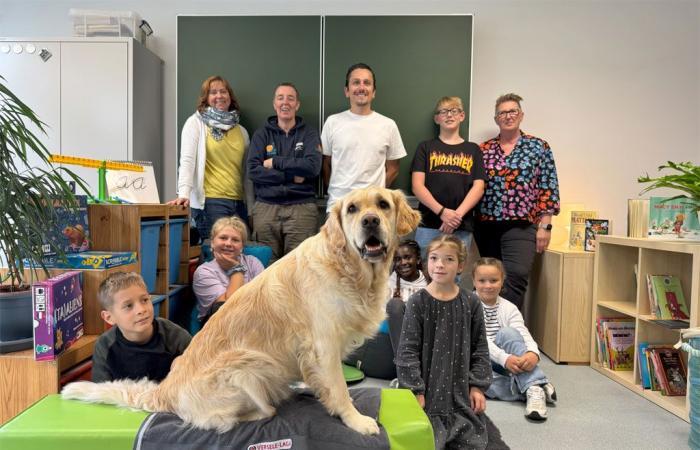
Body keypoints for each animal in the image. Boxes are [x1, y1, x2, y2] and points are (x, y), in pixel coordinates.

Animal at [61, 186, 416, 436]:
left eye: (382, 204)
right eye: (353, 208)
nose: (370, 221)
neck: (350, 269)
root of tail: (166, 391)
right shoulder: (323, 345)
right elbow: (339, 389)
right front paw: (357, 420)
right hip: (248, 364)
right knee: (240, 416)